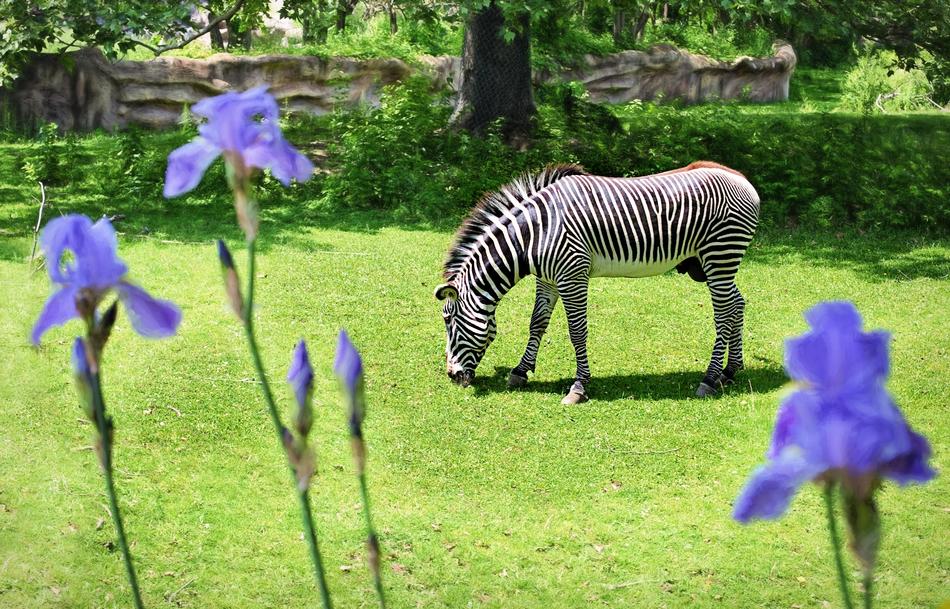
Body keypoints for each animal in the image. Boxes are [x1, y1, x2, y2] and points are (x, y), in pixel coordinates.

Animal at [435, 161, 760, 404]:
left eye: (449, 320)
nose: (452, 376)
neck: (534, 235)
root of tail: (739, 176)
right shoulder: (547, 279)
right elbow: (537, 323)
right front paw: (520, 371)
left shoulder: (572, 275)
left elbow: (577, 331)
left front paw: (579, 387)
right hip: (713, 263)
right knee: (737, 303)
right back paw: (730, 371)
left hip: (720, 254)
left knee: (724, 313)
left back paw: (710, 378)